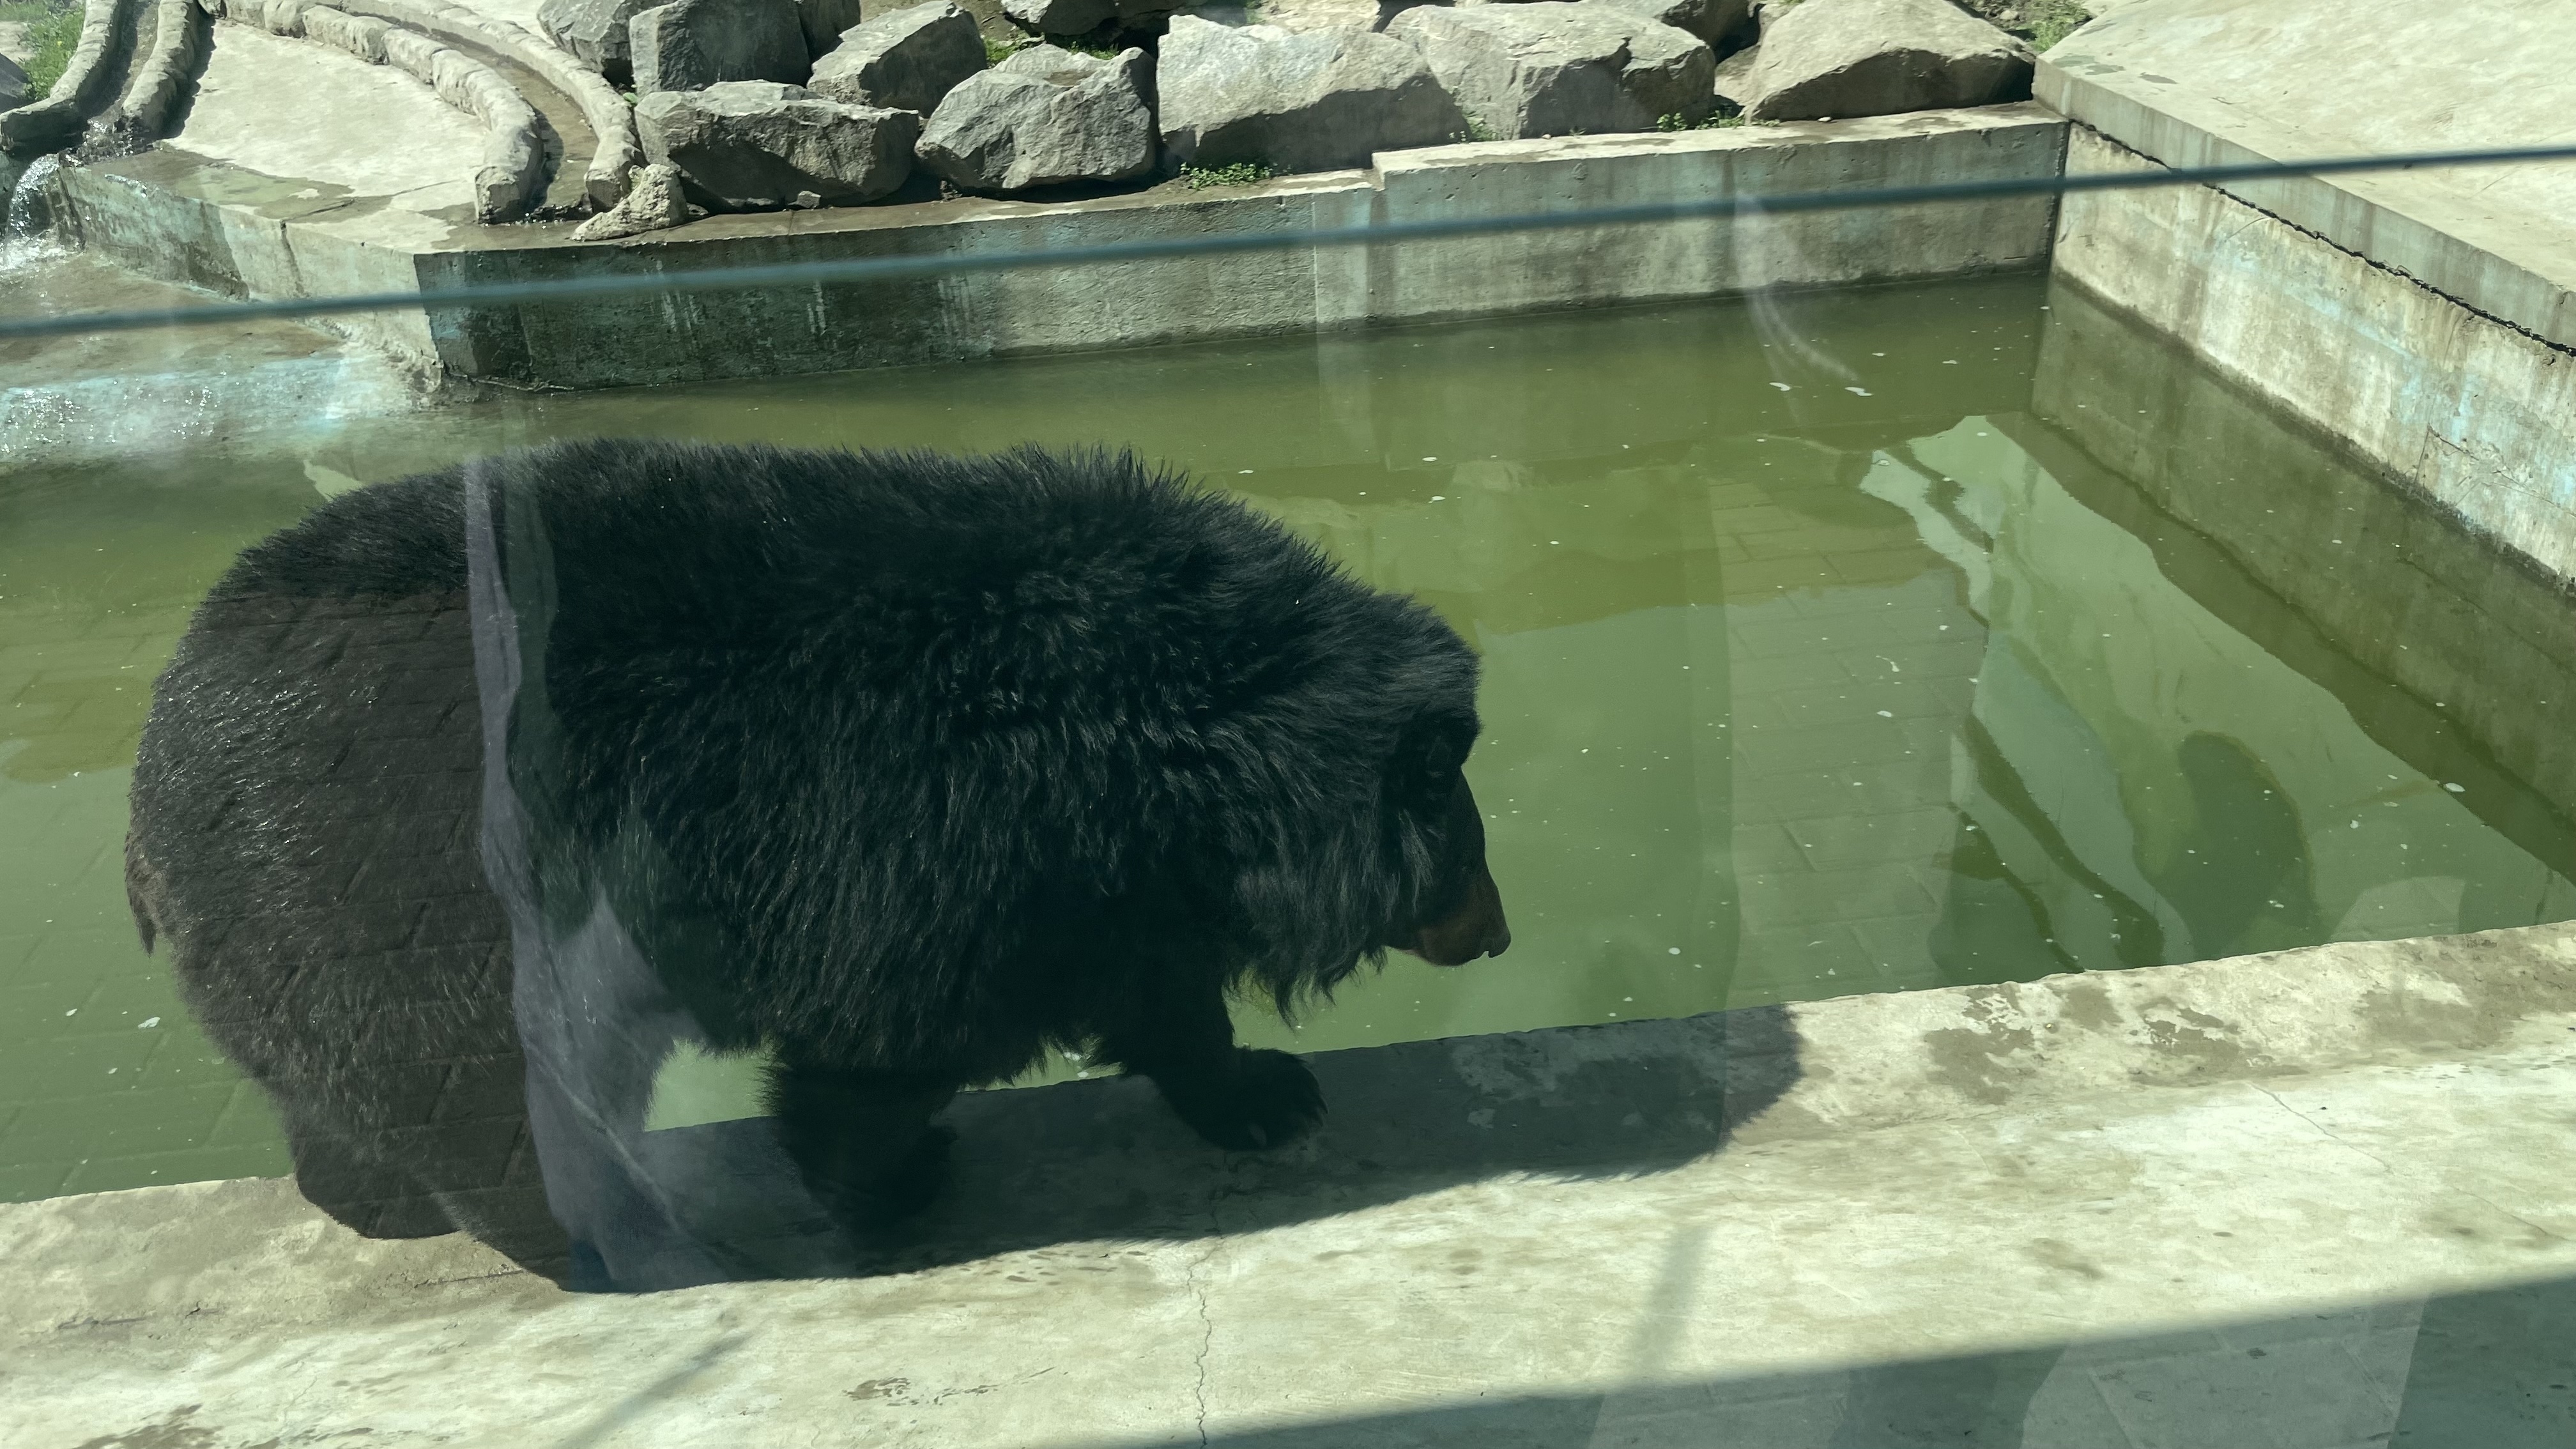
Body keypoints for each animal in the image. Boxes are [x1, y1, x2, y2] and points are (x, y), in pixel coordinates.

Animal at [130, 433, 1504, 1278]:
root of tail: (155, 770)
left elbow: (1155, 989)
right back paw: (605, 1230)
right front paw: (890, 1189)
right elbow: (892, 1038)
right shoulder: (949, 831)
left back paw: (371, 1198)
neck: (1196, 740)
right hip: (406, 888)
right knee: (487, 1086)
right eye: (1461, 846)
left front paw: (1261, 1091)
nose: (1495, 933)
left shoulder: (1110, 864)